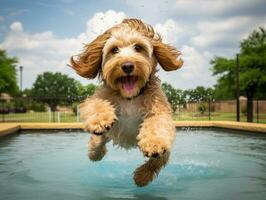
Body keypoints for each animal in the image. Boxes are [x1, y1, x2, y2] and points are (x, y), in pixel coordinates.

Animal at [69, 18, 184, 186]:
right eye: (114, 49)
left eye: (138, 47)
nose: (127, 65)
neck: (130, 98)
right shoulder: (100, 98)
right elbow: (95, 105)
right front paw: (100, 120)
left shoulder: (159, 110)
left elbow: (157, 127)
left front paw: (153, 146)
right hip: (106, 135)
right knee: (98, 141)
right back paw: (95, 152)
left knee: (160, 159)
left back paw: (142, 176)